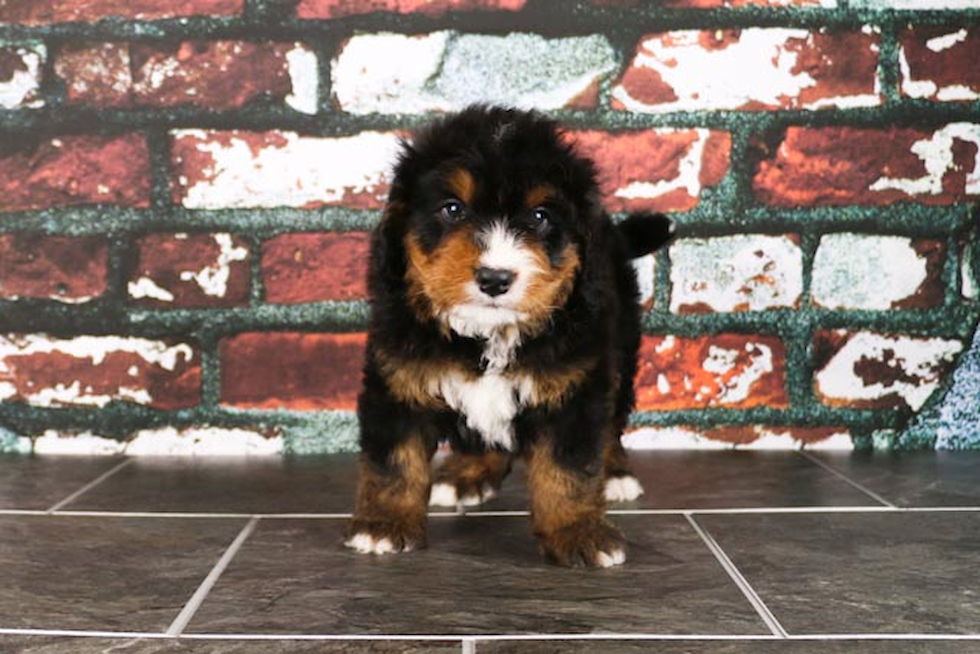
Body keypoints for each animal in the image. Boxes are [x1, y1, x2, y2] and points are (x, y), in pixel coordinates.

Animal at [344, 107, 672, 568]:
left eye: (539, 217)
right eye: (452, 209)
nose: (495, 278)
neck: (488, 335)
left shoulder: (574, 386)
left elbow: (569, 468)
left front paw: (578, 532)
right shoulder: (398, 380)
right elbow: (394, 460)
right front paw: (383, 526)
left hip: (621, 348)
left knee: (612, 419)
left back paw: (617, 473)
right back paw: (465, 475)